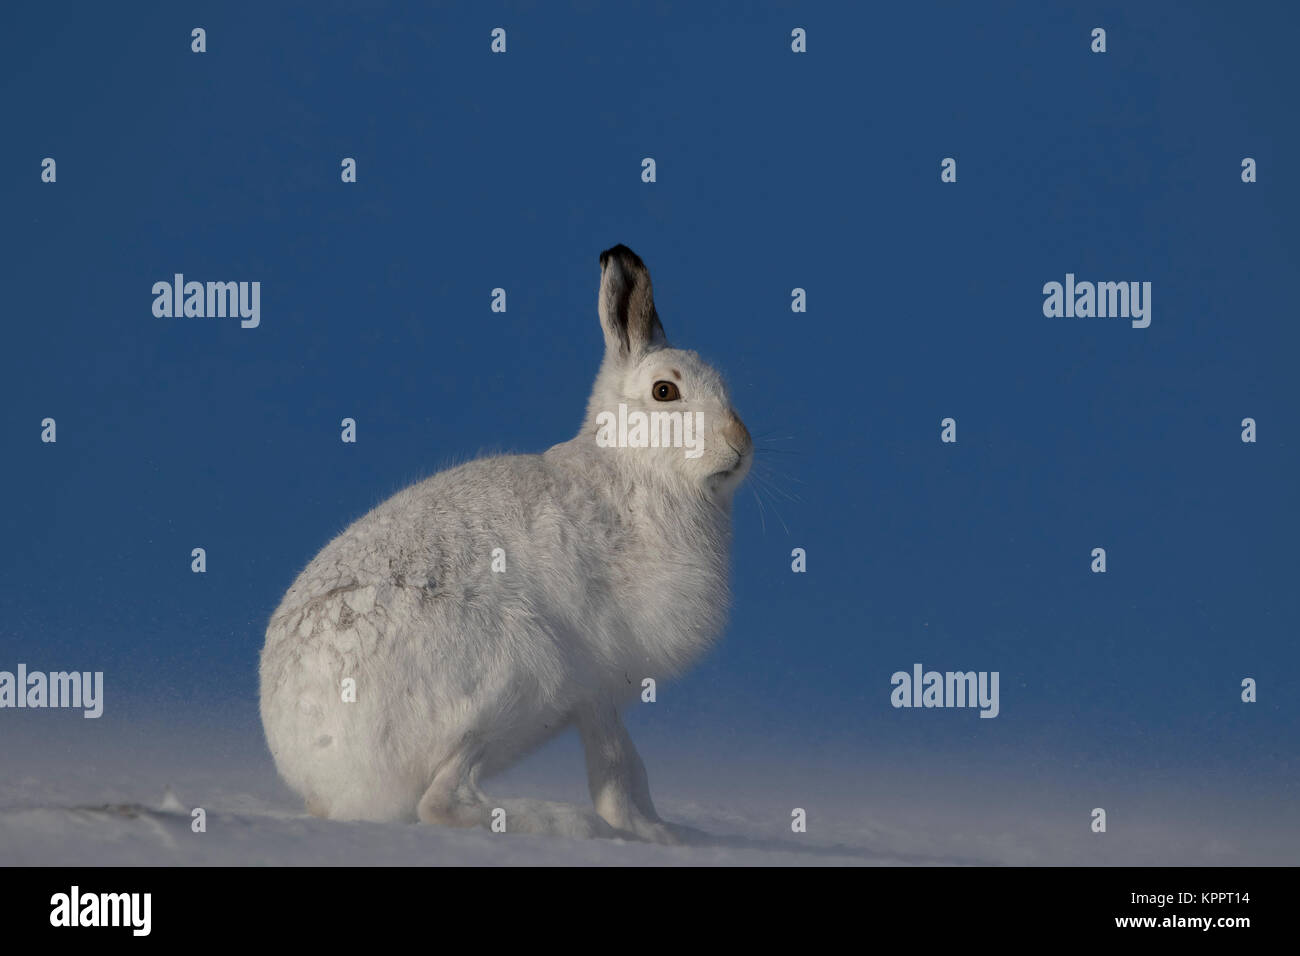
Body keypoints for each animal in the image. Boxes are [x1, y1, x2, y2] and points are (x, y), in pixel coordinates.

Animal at [259, 244, 752, 843]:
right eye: (665, 392)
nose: (741, 444)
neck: (632, 468)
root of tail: (318, 771)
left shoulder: (596, 693)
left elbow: (626, 765)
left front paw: (669, 832)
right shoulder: (597, 684)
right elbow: (618, 766)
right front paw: (653, 835)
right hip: (520, 671)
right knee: (440, 800)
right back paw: (568, 822)